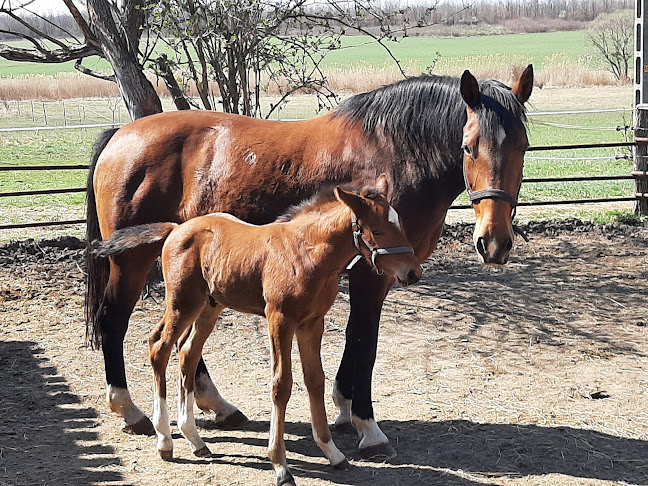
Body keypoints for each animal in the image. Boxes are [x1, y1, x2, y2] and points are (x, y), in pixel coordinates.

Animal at [95, 176, 420, 486]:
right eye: (376, 230)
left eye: (400, 224)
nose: (413, 272)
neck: (306, 253)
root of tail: (175, 228)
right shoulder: (280, 319)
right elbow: (281, 385)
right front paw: (280, 467)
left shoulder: (312, 322)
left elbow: (315, 379)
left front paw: (333, 453)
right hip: (182, 303)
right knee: (159, 346)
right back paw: (164, 439)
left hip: (209, 306)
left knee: (187, 352)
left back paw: (195, 440)